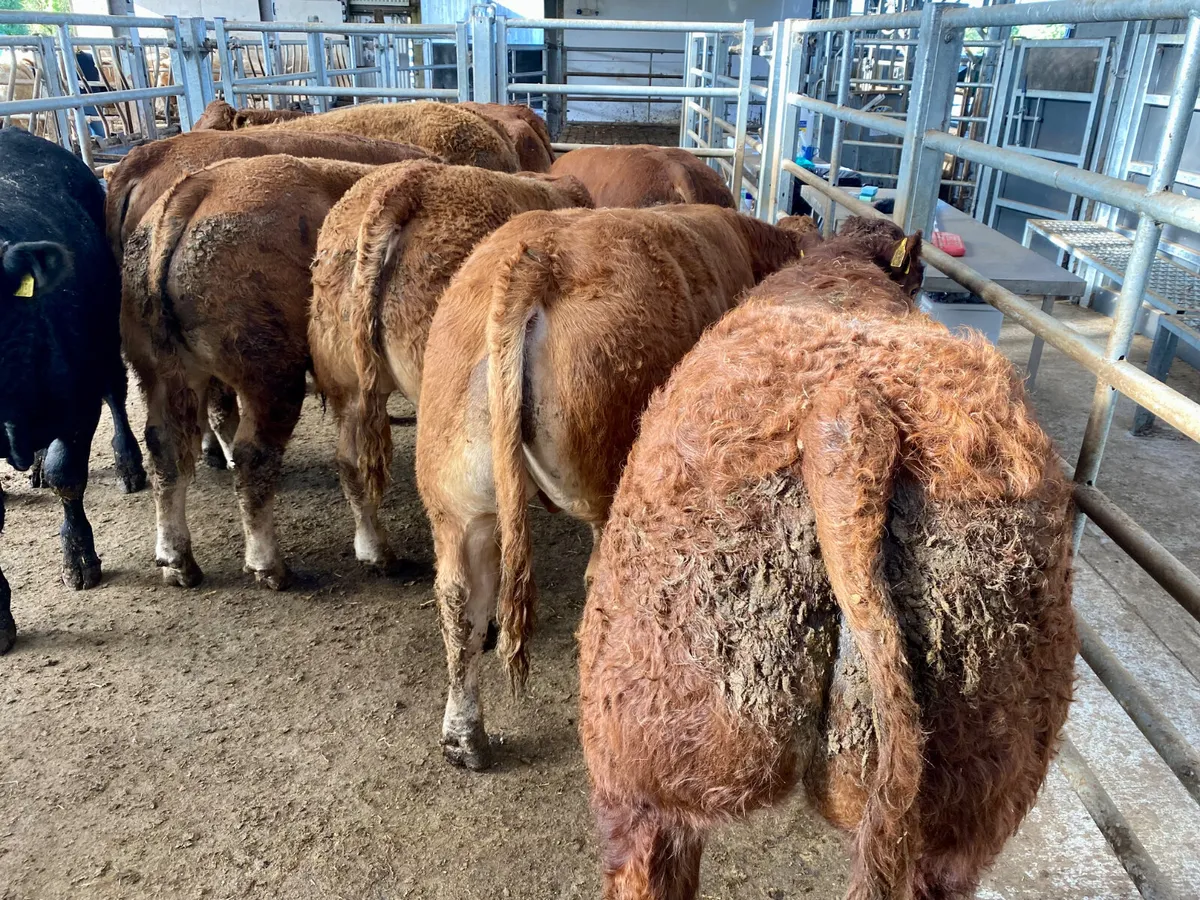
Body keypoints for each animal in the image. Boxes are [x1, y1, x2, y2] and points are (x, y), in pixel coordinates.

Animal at [121, 154, 382, 591]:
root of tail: (195, 190)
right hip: (271, 377)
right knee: (253, 457)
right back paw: (269, 565)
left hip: (159, 371)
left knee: (164, 449)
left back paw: (177, 561)